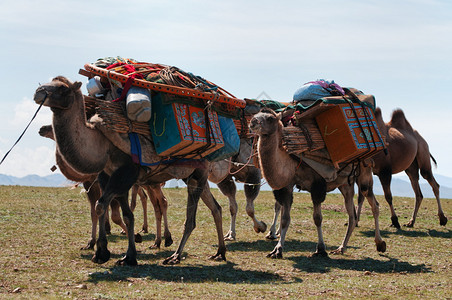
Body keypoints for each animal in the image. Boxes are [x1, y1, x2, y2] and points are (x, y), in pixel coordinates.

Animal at [33, 76, 226, 266]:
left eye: (62, 88)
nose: (38, 92)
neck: (104, 144)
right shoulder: (108, 175)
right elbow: (120, 213)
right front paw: (110, 253)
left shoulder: (126, 173)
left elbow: (104, 207)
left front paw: (117, 253)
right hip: (192, 176)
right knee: (215, 208)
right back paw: (220, 252)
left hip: (198, 173)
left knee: (190, 220)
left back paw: (175, 256)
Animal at [247, 108, 384, 258]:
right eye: (255, 115)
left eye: (270, 118)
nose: (253, 122)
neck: (292, 163)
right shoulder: (287, 186)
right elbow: (285, 219)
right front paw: (277, 249)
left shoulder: (317, 185)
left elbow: (317, 218)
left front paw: (321, 249)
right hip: (345, 184)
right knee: (351, 215)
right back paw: (341, 248)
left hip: (365, 173)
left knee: (374, 205)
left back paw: (380, 244)